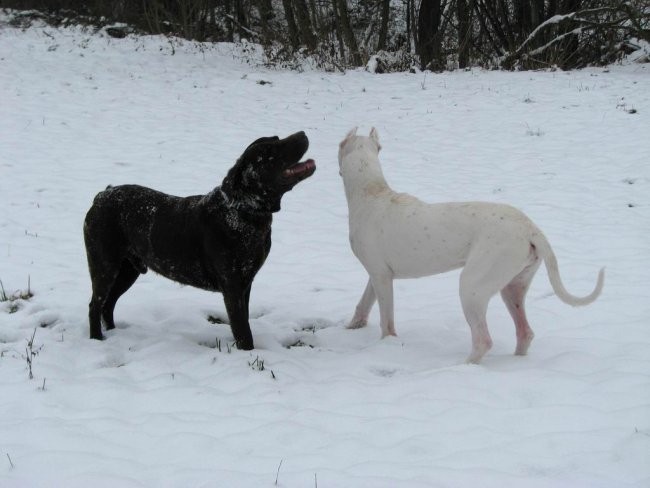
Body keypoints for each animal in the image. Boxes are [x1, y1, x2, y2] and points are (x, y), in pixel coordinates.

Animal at [82, 132, 316, 348]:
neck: (243, 212)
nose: (302, 134)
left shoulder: (245, 284)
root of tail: (101, 195)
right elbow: (243, 330)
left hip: (127, 270)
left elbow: (243, 323)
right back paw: (97, 339)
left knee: (108, 304)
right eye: (271, 151)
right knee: (95, 305)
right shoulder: (233, 287)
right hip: (104, 266)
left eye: (277, 139)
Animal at [340, 127, 604, 364]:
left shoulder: (382, 277)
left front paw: (387, 344)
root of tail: (531, 229)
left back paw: (463, 367)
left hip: (472, 287)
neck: (371, 192)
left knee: (483, 339)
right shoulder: (378, 275)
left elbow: (387, 321)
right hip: (512, 286)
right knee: (525, 332)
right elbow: (364, 302)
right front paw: (353, 326)